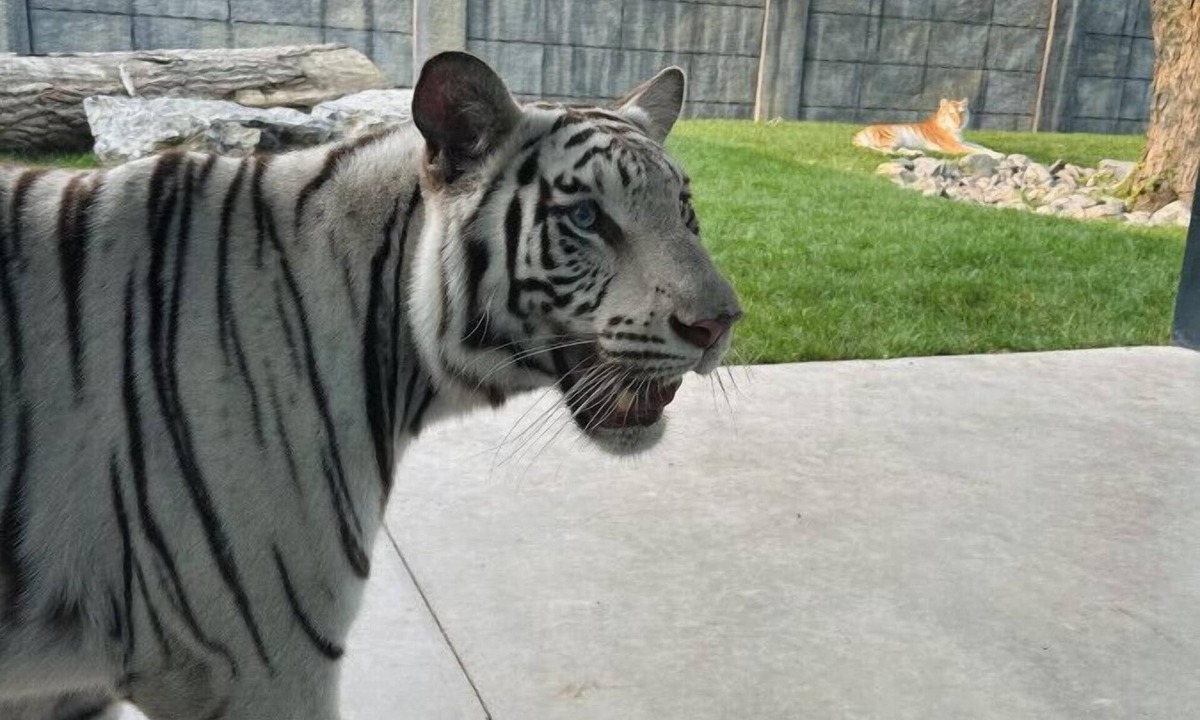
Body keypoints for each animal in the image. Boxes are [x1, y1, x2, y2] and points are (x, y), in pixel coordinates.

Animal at [852, 98, 1002, 158]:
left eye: (962, 112)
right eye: (951, 114)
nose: (959, 123)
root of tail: (857, 134)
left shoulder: (962, 142)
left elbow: (981, 147)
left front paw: (997, 153)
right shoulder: (955, 146)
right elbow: (975, 151)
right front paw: (998, 156)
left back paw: (917, 153)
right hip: (892, 136)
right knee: (886, 151)